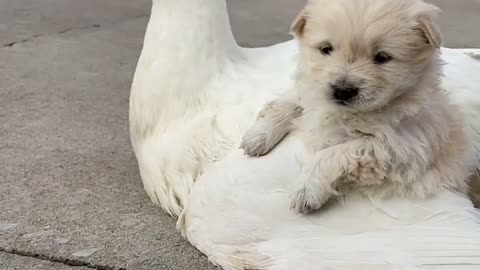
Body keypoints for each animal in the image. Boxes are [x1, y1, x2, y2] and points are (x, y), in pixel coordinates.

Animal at [240, 0, 476, 214]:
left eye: (382, 57)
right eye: (326, 49)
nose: (342, 90)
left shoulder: (400, 145)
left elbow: (337, 152)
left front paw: (306, 189)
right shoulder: (313, 89)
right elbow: (289, 101)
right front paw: (257, 136)